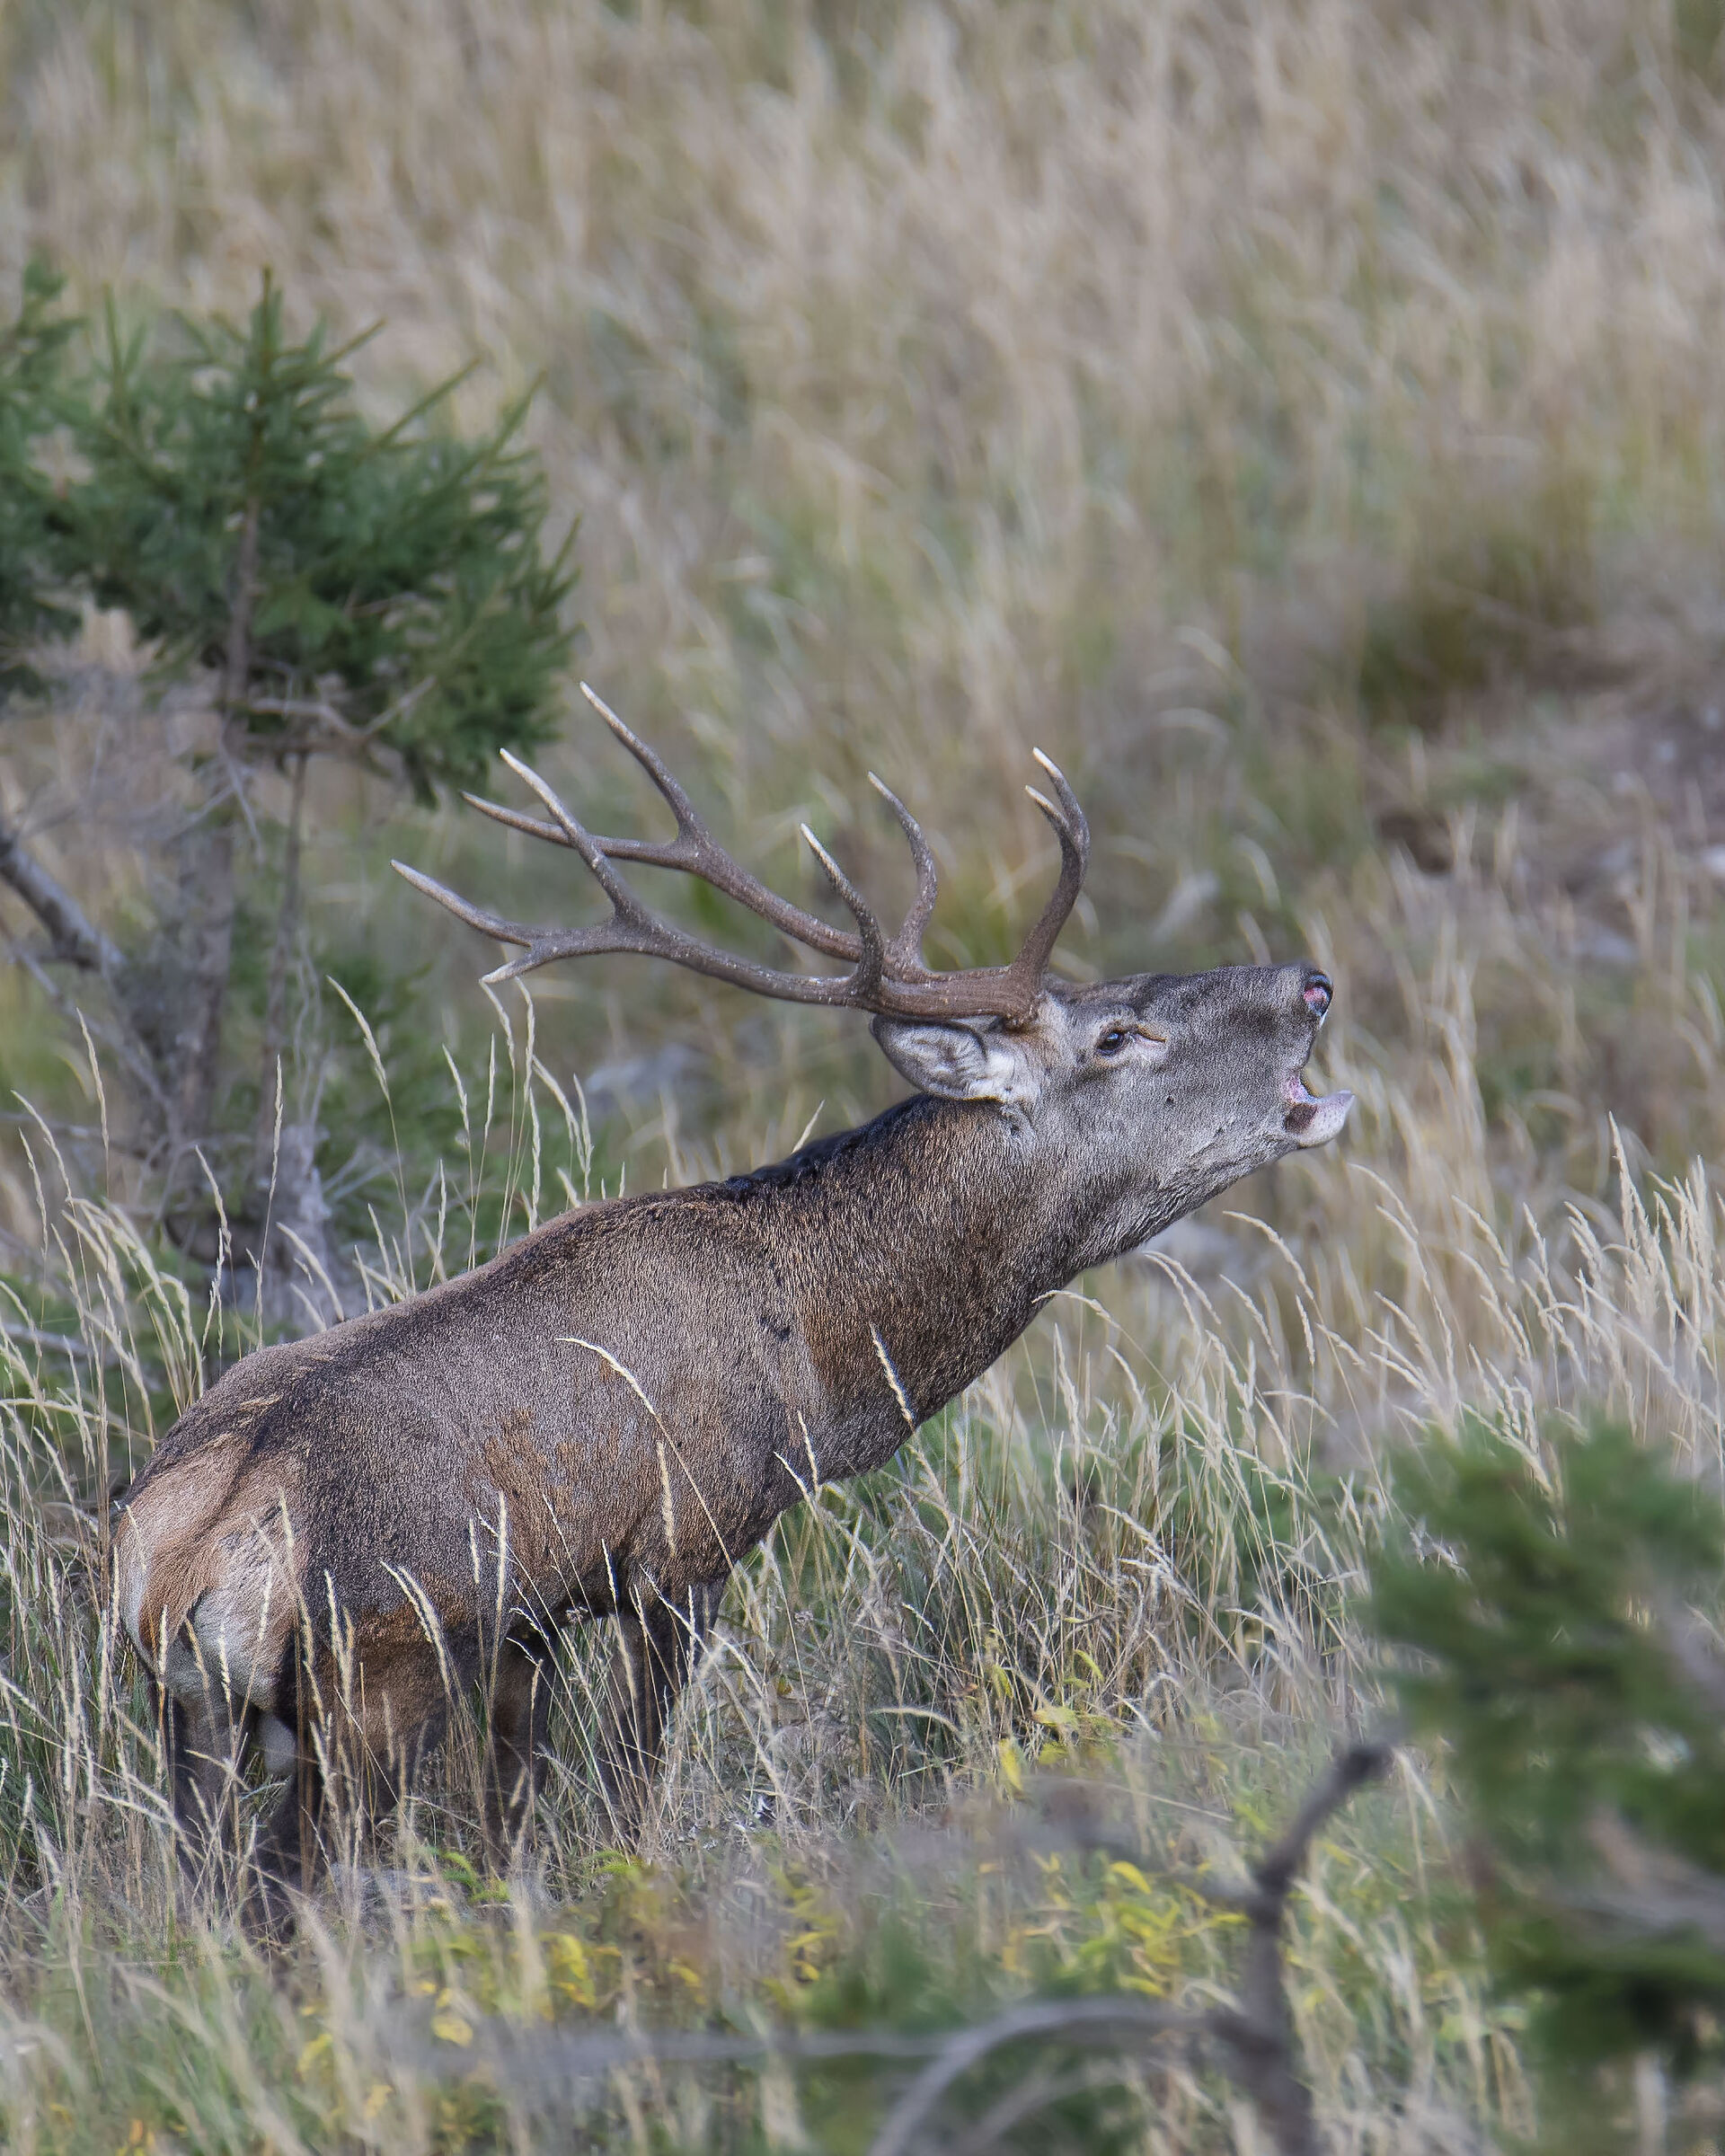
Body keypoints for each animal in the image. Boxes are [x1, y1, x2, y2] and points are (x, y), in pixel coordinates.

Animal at [115, 684, 1353, 1913]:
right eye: (1116, 1034)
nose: (1311, 980)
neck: (820, 1360)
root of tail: (182, 1565)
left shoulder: (530, 1627)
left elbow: (513, 1820)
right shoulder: (686, 1548)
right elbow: (631, 1795)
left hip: (195, 1718)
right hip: (372, 1682)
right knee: (283, 1893)